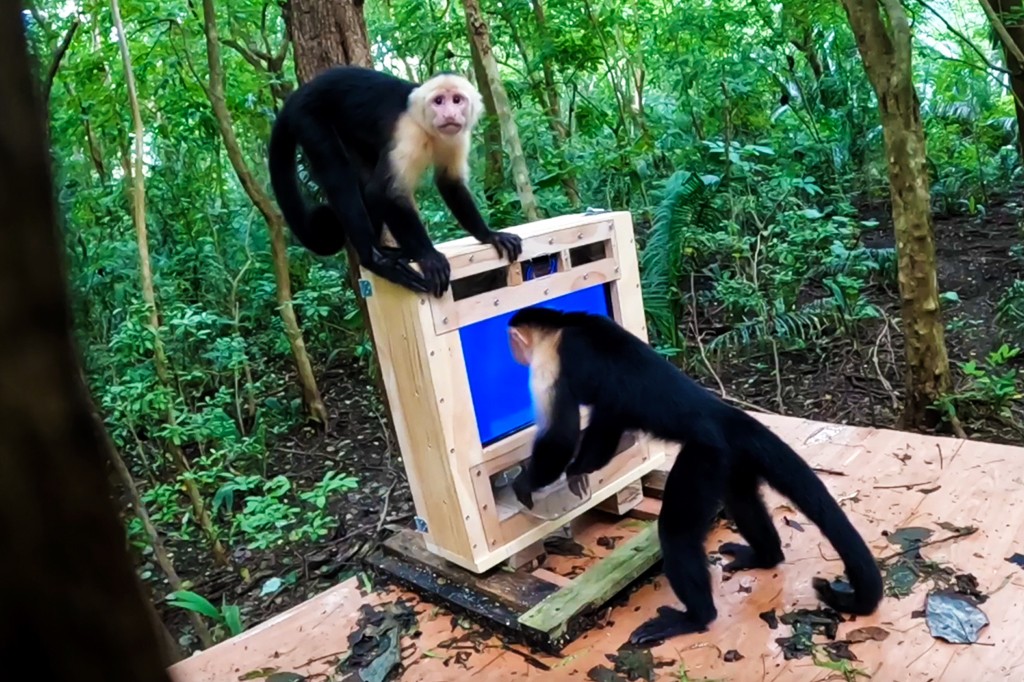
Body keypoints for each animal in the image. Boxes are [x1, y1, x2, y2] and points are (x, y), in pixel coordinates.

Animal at [268, 66, 522, 297]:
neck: (428, 129)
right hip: (308, 117)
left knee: (364, 174)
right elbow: (383, 192)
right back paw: (373, 259)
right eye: (439, 101)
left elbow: (450, 183)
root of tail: (297, 95)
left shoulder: (457, 136)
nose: (449, 114)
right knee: (340, 176)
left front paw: (489, 235)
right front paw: (427, 256)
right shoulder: (409, 132)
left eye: (457, 100)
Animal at [505, 306, 883, 646]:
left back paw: (695, 617)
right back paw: (766, 556)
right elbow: (610, 416)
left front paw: (527, 483)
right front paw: (578, 471)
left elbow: (561, 435)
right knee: (740, 498)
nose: (512, 353)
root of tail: (722, 413)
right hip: (731, 458)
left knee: (676, 531)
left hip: (704, 457)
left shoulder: (549, 360)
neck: (563, 322)